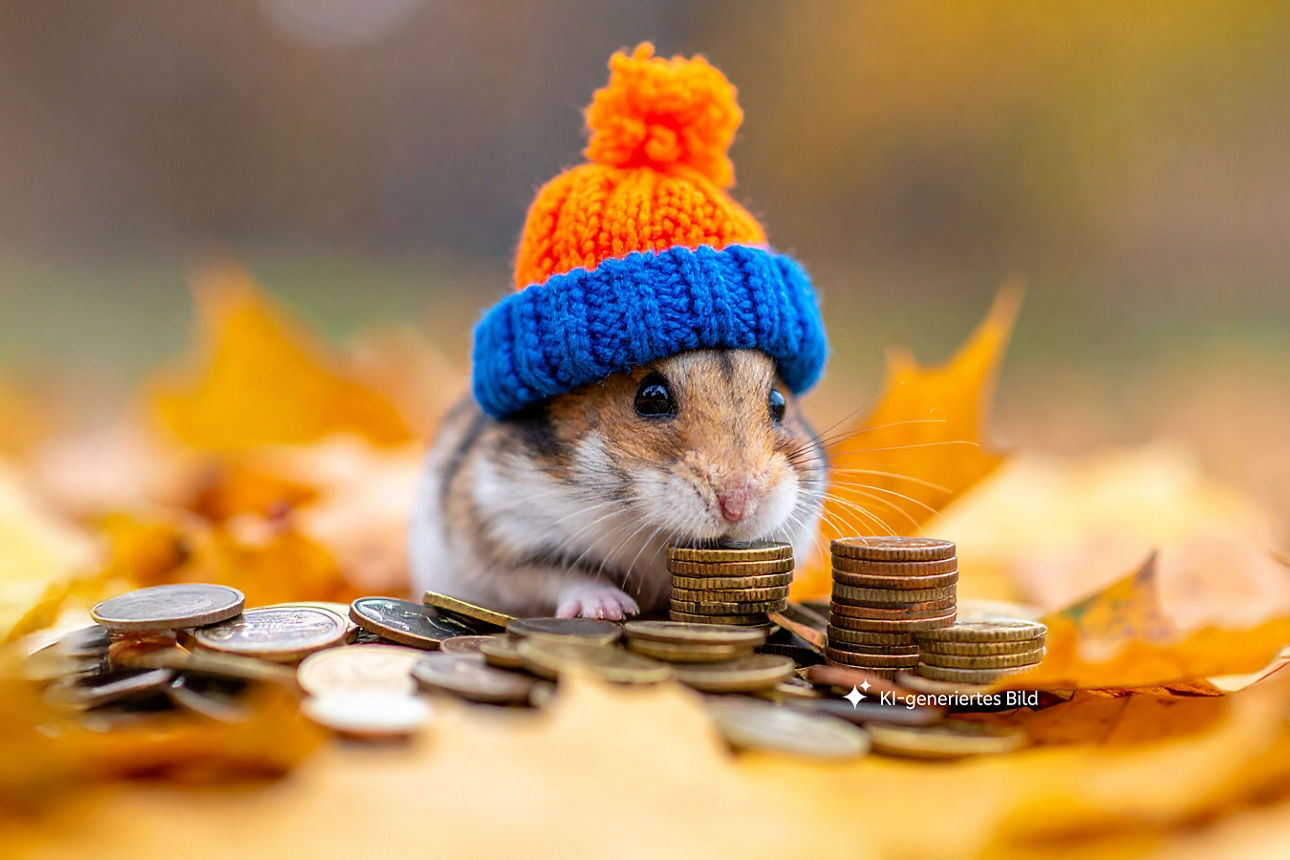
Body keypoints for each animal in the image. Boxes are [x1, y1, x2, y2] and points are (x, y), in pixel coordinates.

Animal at [409, 347, 827, 619]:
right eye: (651, 397)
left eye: (779, 403)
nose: (739, 508)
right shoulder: (505, 535)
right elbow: (564, 574)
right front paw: (613, 611)